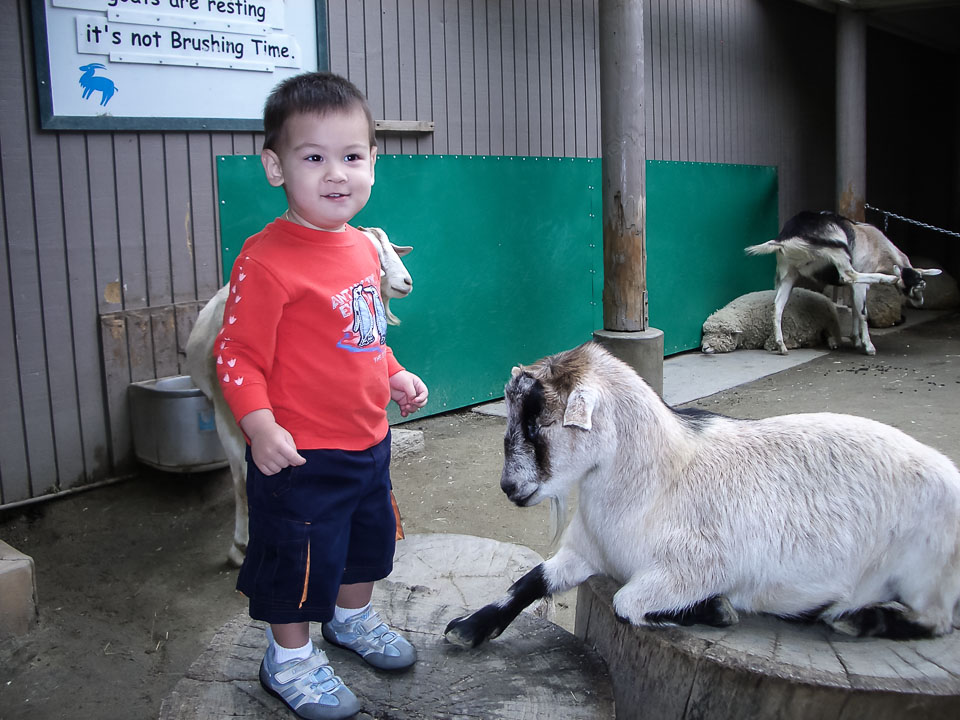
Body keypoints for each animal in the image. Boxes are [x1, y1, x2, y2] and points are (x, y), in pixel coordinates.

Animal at [444, 342, 960, 648]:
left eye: (538, 423)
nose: (510, 487)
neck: (658, 480)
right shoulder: (585, 551)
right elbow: (528, 580)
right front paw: (467, 628)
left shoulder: (693, 567)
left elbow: (627, 602)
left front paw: (717, 610)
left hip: (923, 572)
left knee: (936, 621)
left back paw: (850, 618)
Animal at [701, 288, 841, 354]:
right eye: (706, 333)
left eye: (720, 335)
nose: (704, 347)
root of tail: (823, 296)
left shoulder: (786, 324)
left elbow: (769, 344)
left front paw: (786, 345)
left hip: (830, 321)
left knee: (831, 334)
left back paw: (832, 343)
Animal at [745, 211, 941, 356]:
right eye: (917, 285)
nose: (920, 302)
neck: (879, 247)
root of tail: (785, 239)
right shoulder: (860, 284)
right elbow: (862, 311)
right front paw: (868, 346)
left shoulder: (853, 289)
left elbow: (854, 308)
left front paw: (856, 339)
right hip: (837, 249)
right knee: (849, 275)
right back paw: (886, 279)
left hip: (788, 273)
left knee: (778, 306)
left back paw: (781, 346)